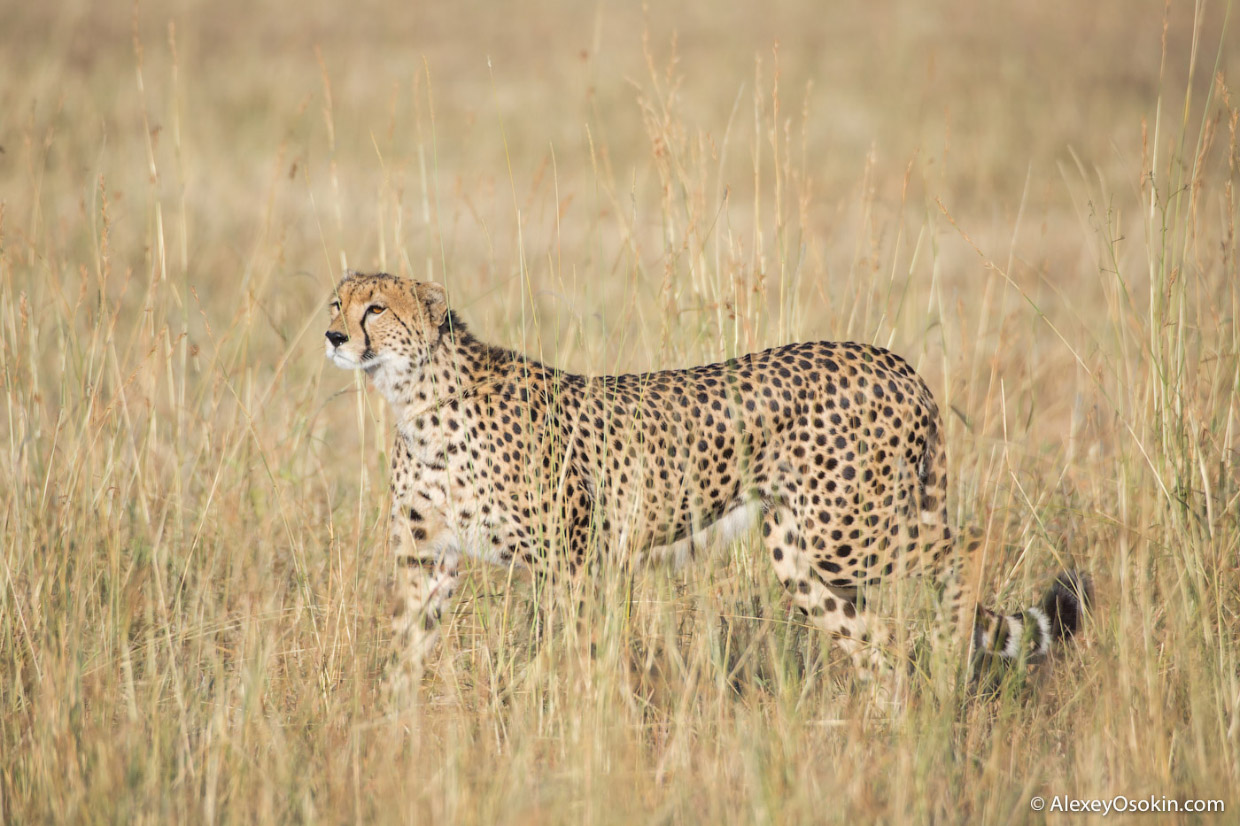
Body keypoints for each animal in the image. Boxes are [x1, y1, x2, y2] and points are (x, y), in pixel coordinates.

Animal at [324, 271, 1091, 694]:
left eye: (376, 308)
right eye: (336, 302)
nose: (333, 337)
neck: (418, 396)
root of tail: (893, 360)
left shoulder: (575, 559)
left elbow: (576, 652)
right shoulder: (429, 562)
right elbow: (403, 652)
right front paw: (390, 736)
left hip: (848, 530)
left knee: (968, 547)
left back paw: (945, 675)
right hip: (802, 554)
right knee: (876, 644)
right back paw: (893, 724)